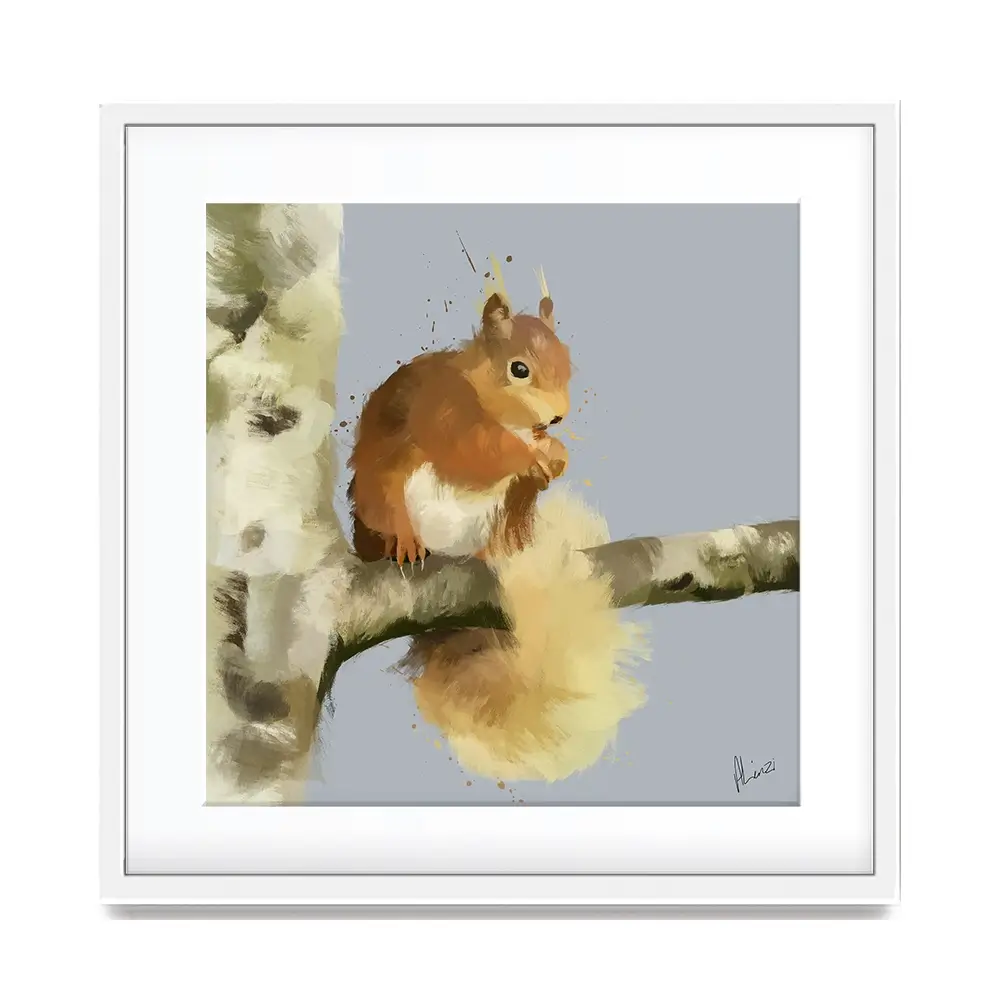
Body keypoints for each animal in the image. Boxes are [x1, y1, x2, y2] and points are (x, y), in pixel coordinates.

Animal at [347, 287, 648, 782]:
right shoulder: (444, 411)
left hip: (504, 519)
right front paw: (531, 453)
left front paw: (555, 455)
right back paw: (405, 543)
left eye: (568, 360)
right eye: (518, 369)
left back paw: (493, 552)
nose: (558, 418)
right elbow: (475, 449)